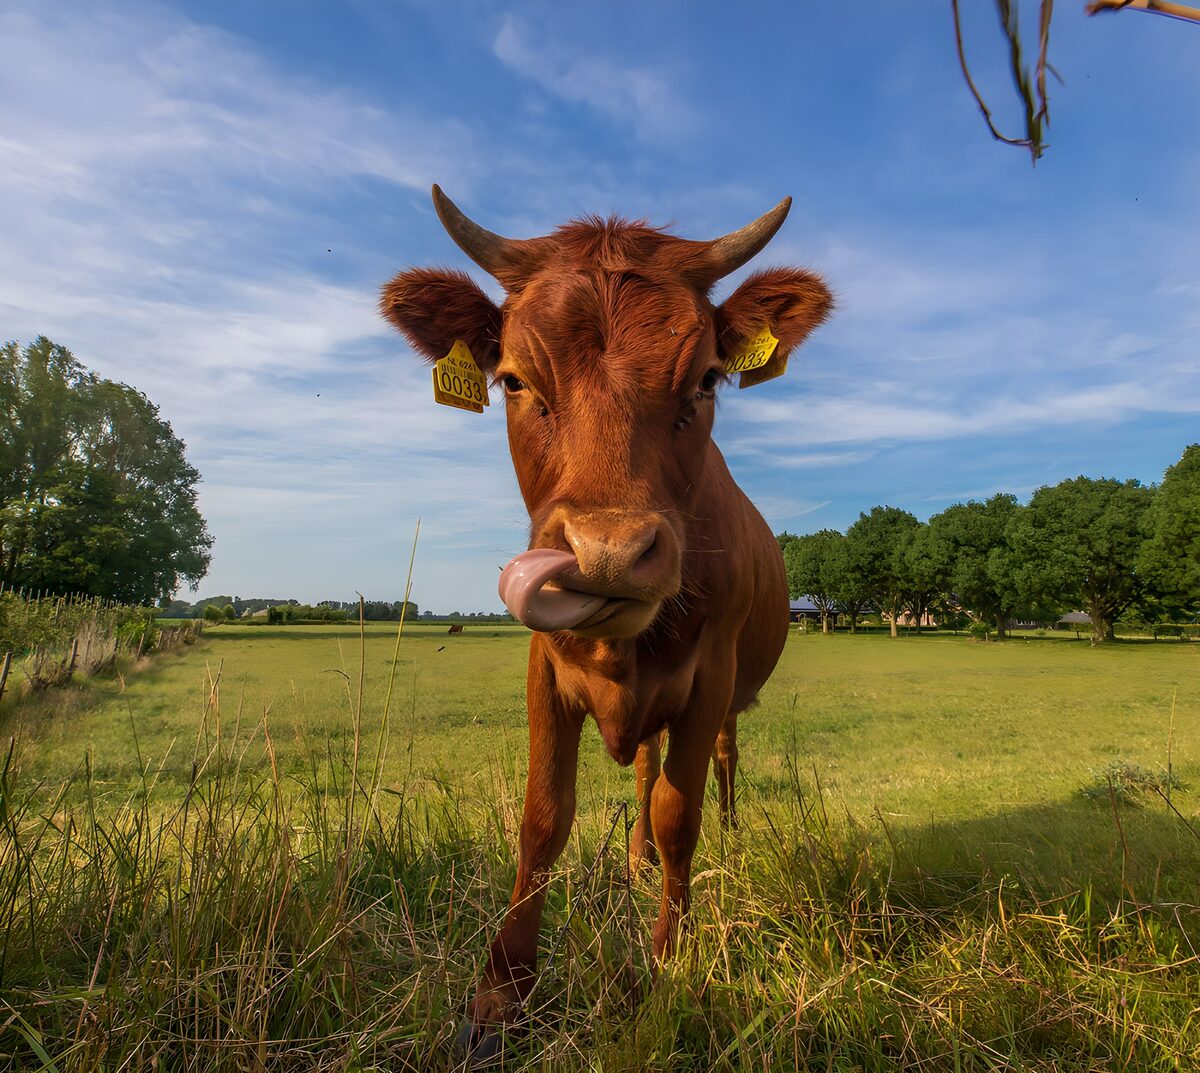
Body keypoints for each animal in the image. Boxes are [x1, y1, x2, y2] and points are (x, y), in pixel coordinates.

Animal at [380, 186, 832, 1063]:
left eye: (708, 378)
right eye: (513, 380)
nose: (610, 552)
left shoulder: (710, 676)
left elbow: (680, 812)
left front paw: (668, 962)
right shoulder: (543, 671)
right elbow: (543, 818)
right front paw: (500, 995)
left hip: (730, 696)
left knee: (715, 766)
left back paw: (720, 837)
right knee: (644, 766)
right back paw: (634, 859)